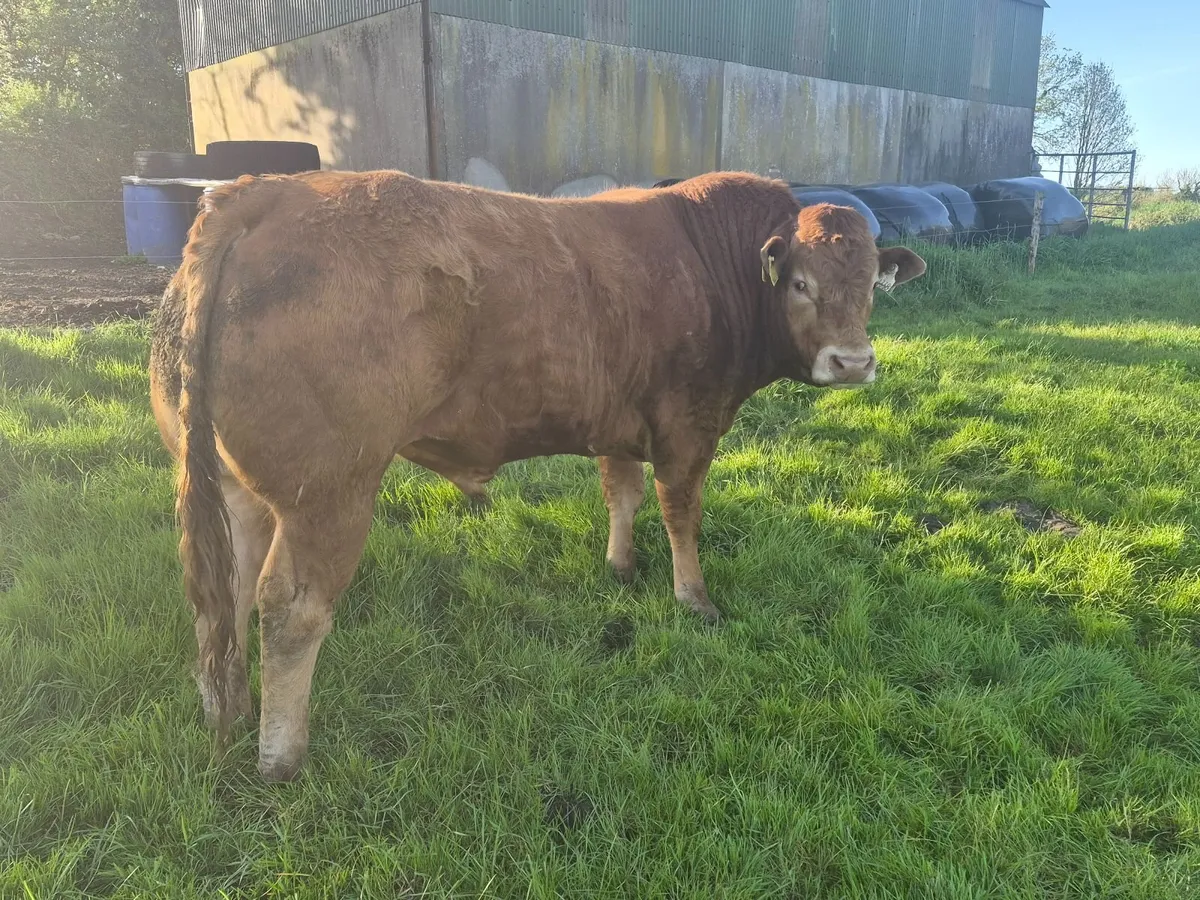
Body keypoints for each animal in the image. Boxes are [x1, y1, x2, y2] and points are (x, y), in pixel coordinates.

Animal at [149, 169, 926, 781]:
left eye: (871, 286)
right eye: (800, 282)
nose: (853, 363)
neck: (709, 263)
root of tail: (265, 192)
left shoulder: (621, 420)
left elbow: (622, 492)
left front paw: (620, 565)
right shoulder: (687, 427)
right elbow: (681, 511)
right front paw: (694, 598)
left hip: (237, 490)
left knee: (226, 594)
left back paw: (229, 711)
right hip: (329, 494)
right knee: (291, 609)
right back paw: (281, 757)